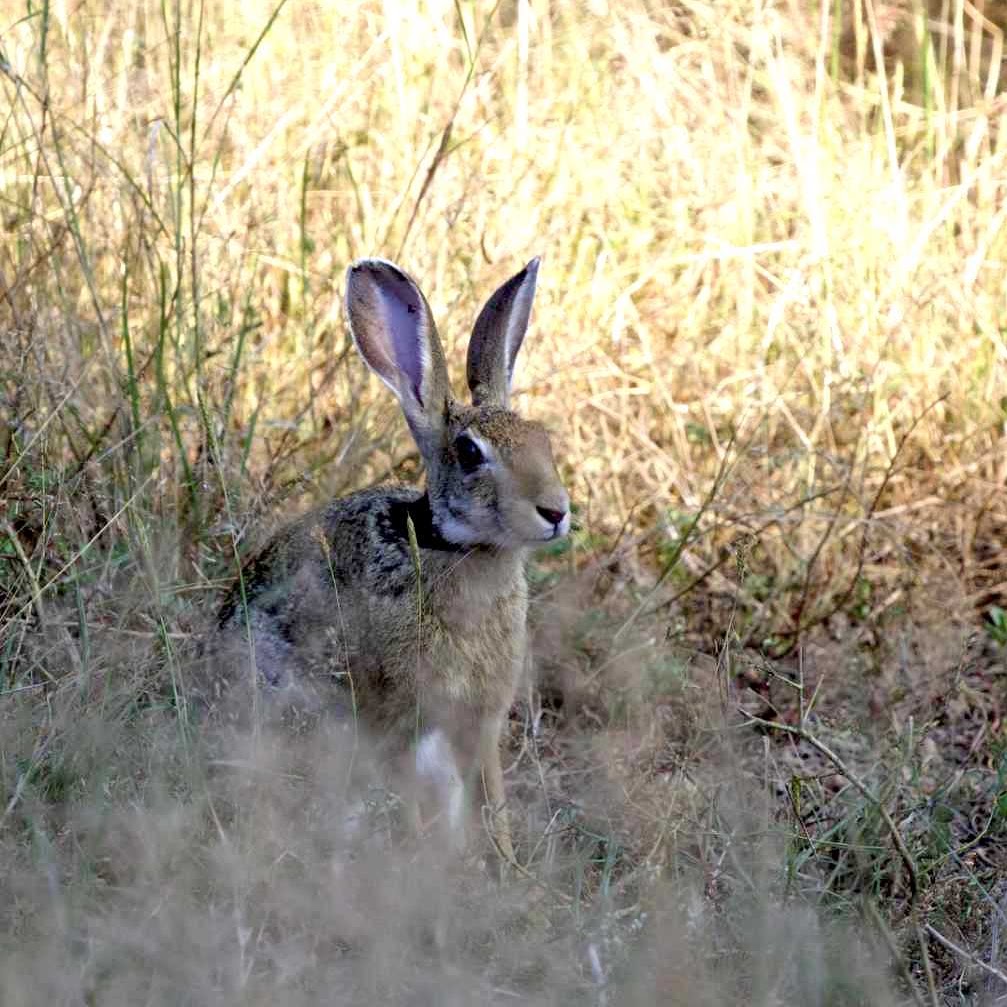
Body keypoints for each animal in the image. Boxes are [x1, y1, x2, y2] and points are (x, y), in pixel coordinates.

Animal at [213, 257, 570, 861]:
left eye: (541, 439)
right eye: (469, 453)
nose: (556, 511)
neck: (447, 545)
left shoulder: (481, 720)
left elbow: (490, 793)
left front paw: (503, 861)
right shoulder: (402, 714)